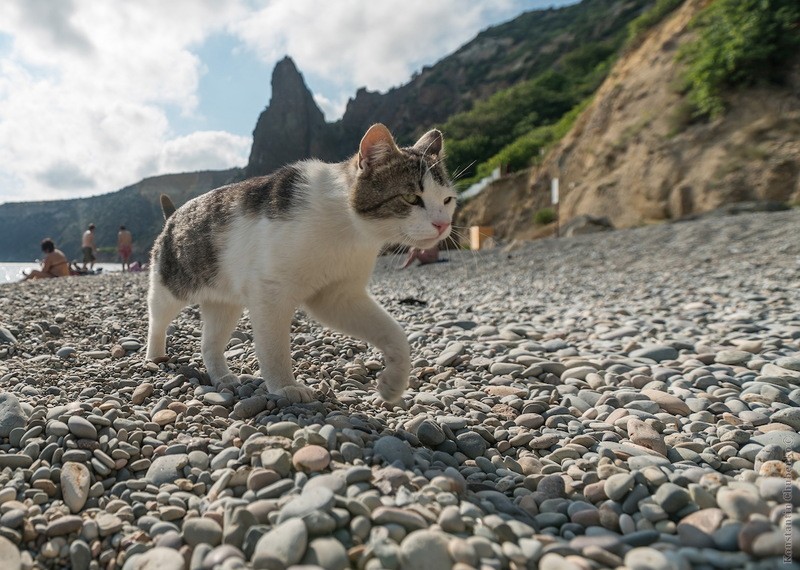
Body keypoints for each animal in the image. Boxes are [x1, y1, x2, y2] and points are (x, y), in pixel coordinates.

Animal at [145, 122, 456, 402]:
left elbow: (396, 334)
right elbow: (274, 348)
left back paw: (222, 377)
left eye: (448, 200)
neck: (349, 229)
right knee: (157, 320)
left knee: (209, 345)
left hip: (224, 303)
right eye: (411, 197)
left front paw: (393, 383)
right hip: (170, 289)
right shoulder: (270, 293)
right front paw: (284, 386)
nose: (443, 224)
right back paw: (155, 357)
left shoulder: (337, 296)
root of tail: (175, 213)